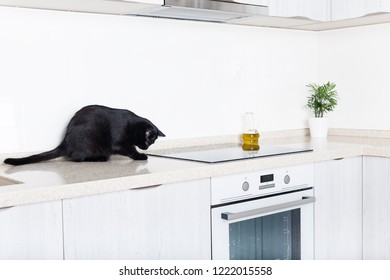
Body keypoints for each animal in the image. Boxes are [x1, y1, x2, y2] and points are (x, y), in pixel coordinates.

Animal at [3, 106, 165, 165]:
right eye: (148, 141)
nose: (146, 148)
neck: (131, 125)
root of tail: (64, 142)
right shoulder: (119, 144)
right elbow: (131, 150)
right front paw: (140, 156)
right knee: (77, 158)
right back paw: (100, 158)